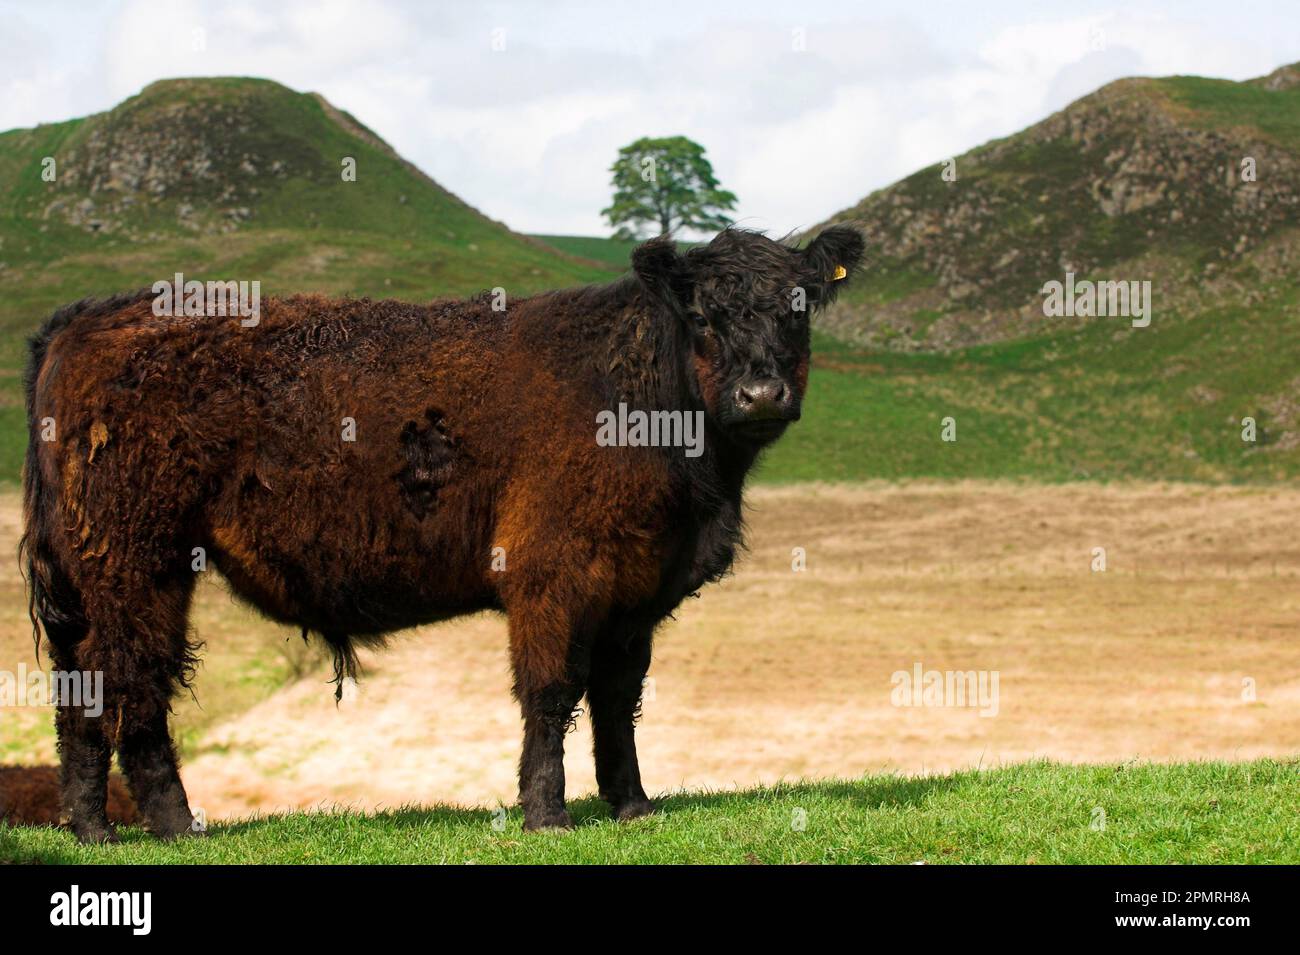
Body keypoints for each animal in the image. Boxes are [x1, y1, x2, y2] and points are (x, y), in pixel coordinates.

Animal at [20, 225, 865, 842]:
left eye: (797, 309)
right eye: (703, 315)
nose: (762, 391)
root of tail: (87, 316)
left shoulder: (635, 591)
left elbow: (618, 698)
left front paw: (632, 804)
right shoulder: (552, 571)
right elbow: (552, 692)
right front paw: (547, 815)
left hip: (97, 575)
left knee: (78, 689)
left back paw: (91, 827)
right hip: (138, 560)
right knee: (133, 683)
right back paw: (172, 825)